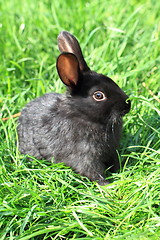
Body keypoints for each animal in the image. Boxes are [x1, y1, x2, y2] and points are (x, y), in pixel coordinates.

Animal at [17, 31, 131, 186]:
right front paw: (107, 185)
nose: (128, 105)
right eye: (99, 95)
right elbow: (93, 171)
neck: (84, 116)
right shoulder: (85, 155)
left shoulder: (112, 151)